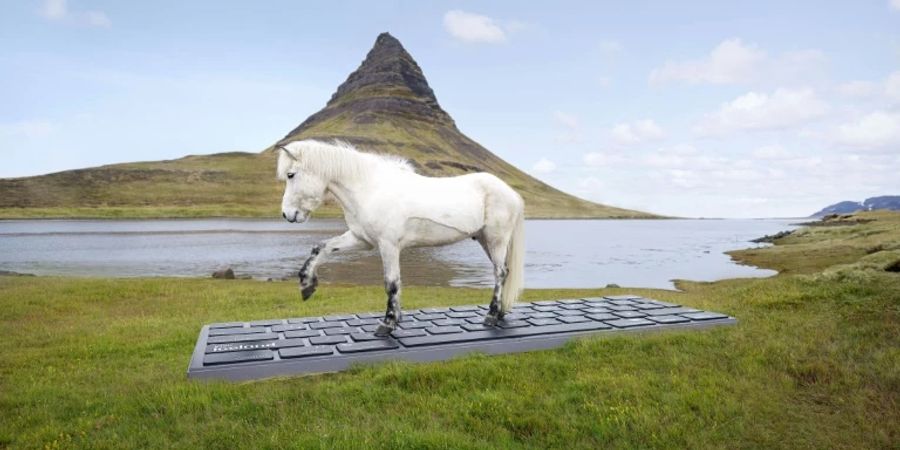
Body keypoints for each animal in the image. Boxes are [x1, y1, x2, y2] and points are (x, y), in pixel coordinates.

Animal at [278, 139, 524, 336]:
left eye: (291, 175)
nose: (287, 214)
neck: (369, 189)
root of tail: (511, 193)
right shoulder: (361, 240)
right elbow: (321, 248)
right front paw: (306, 285)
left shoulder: (388, 245)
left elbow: (392, 283)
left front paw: (388, 323)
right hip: (484, 240)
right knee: (504, 271)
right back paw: (500, 312)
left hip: (496, 240)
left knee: (500, 273)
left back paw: (491, 315)